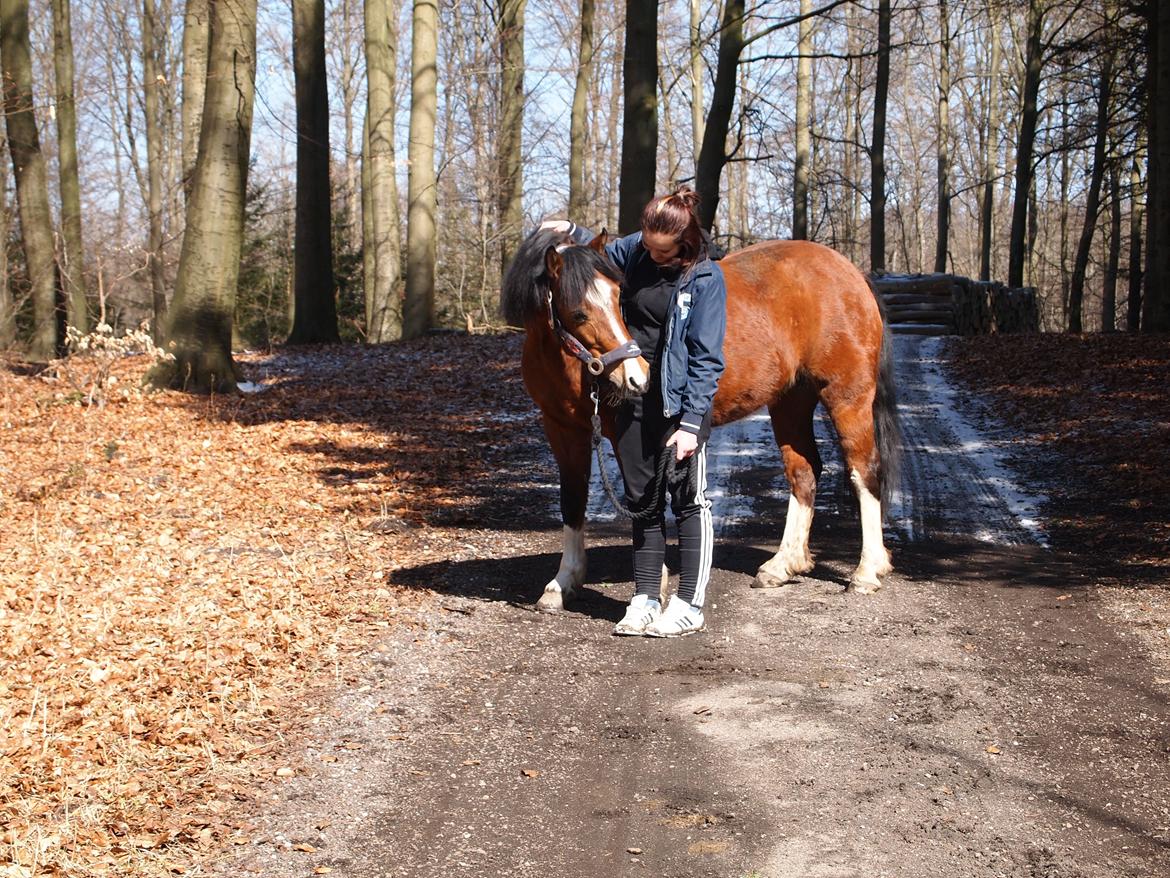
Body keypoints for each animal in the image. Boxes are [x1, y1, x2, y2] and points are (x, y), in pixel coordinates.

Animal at [498, 227, 898, 613]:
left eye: (617, 297)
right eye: (579, 313)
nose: (637, 378)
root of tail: (852, 274)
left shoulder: (630, 437)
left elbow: (643, 502)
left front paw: (653, 585)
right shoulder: (563, 432)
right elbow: (573, 501)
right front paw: (563, 583)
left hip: (847, 397)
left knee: (864, 470)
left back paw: (867, 571)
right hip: (791, 401)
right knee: (804, 473)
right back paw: (783, 565)